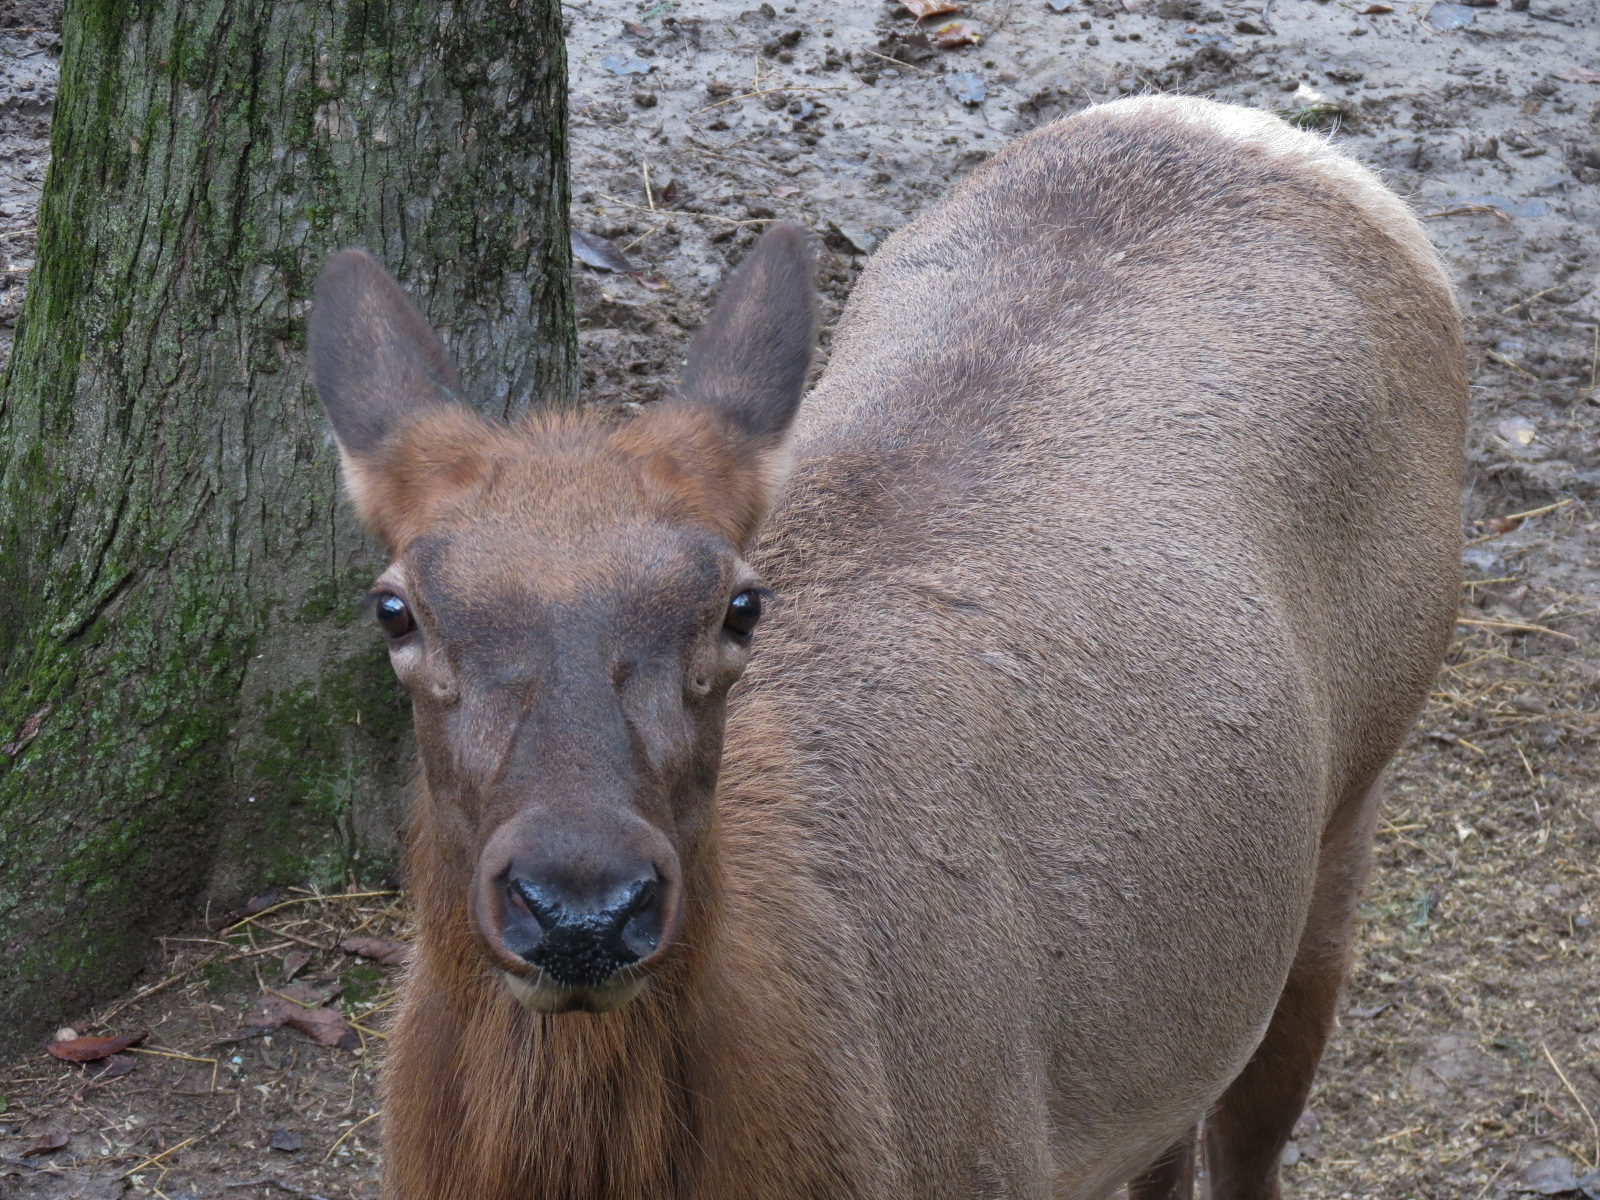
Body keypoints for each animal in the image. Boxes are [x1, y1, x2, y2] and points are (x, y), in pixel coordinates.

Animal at [306, 95, 1465, 1200]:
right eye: (396, 608)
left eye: (739, 605)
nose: (581, 907)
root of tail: (1283, 143)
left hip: (1358, 787)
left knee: (1253, 1138)